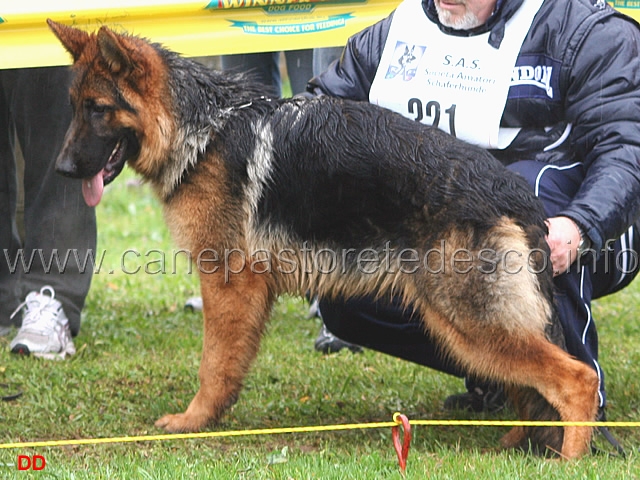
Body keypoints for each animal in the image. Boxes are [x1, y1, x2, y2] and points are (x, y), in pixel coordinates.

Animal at [48, 20, 600, 460]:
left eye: (98, 109)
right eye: (73, 107)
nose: (61, 170)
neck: (203, 129)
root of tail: (515, 194)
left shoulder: (227, 284)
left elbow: (213, 365)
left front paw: (193, 421)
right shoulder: (246, 292)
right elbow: (230, 364)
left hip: (469, 322)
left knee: (578, 380)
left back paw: (569, 459)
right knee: (535, 384)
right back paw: (514, 441)